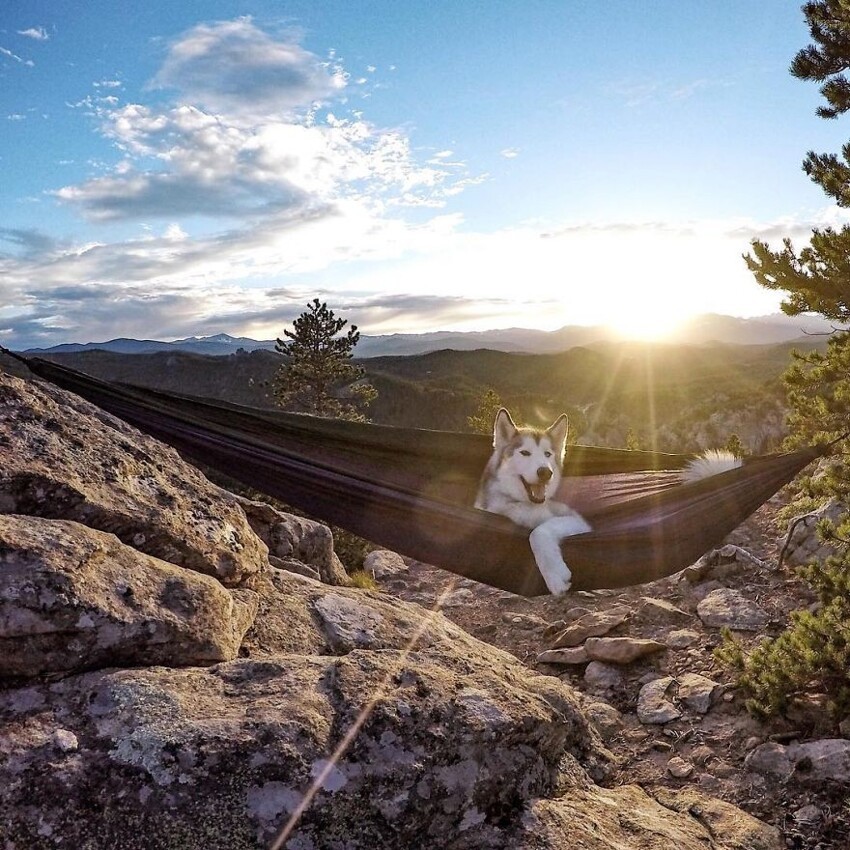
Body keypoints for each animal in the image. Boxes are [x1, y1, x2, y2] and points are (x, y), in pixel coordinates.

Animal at [470, 408, 588, 592]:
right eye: (525, 453)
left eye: (547, 454)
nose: (545, 472)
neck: (520, 504)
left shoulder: (578, 521)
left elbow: (538, 531)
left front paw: (553, 574)